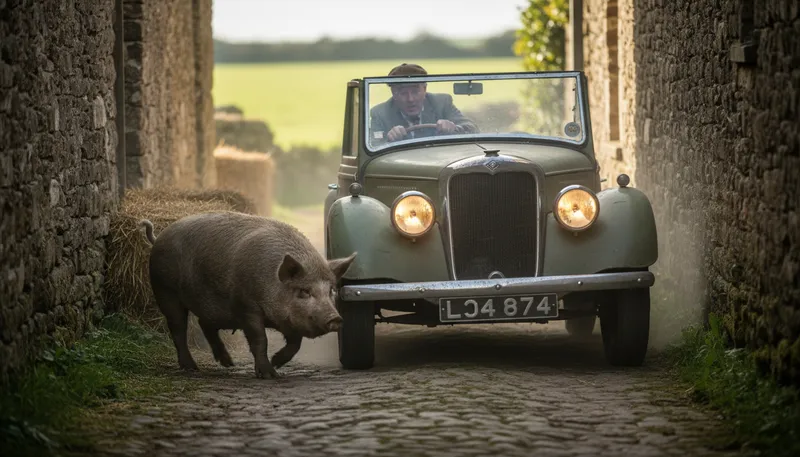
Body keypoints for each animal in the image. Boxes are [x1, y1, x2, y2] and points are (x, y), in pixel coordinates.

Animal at [139, 211, 356, 379]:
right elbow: (260, 339)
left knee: (204, 324)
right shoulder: (246, 306)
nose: (335, 318)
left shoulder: (288, 320)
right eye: (304, 291)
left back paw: (228, 364)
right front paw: (270, 374)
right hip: (165, 290)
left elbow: (295, 344)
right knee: (178, 328)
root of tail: (158, 238)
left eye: (332, 290)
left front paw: (276, 363)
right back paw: (192, 368)